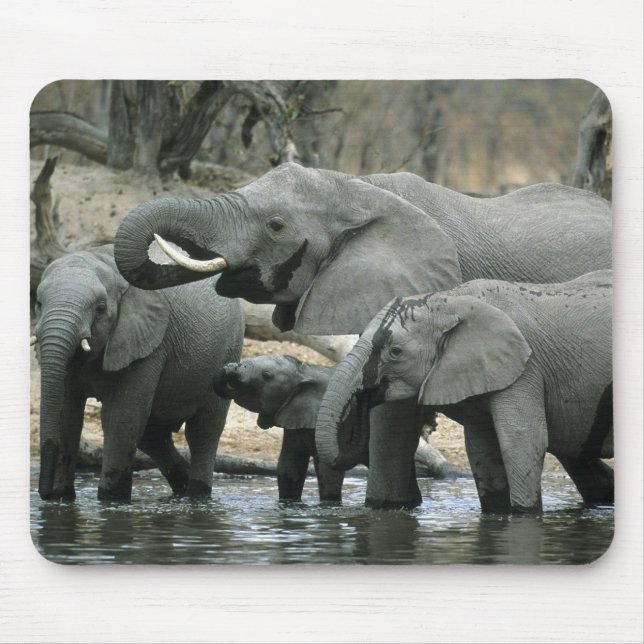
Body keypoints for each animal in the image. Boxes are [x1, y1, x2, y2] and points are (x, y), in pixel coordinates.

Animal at [32, 244, 244, 501]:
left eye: (100, 308)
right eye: (38, 303)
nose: (44, 493)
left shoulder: (148, 343)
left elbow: (121, 417)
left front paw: (111, 500)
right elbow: (67, 416)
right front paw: (60, 498)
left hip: (228, 351)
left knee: (203, 431)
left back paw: (196, 495)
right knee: (152, 434)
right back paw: (181, 489)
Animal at [315, 270, 613, 514]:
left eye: (395, 352)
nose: (366, 394)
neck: (451, 301)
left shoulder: (526, 370)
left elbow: (523, 440)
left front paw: (523, 515)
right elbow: (482, 449)